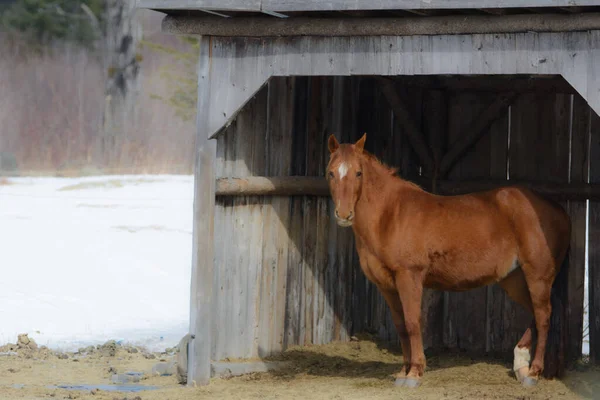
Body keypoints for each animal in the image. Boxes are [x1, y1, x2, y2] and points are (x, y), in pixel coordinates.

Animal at [326, 134, 568, 388]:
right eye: (331, 172)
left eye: (358, 173)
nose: (344, 215)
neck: (390, 215)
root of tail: (556, 209)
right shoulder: (387, 286)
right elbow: (401, 325)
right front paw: (403, 372)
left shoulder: (409, 276)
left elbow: (412, 322)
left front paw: (415, 373)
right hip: (514, 280)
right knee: (535, 314)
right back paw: (521, 365)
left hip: (537, 276)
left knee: (543, 317)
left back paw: (534, 372)